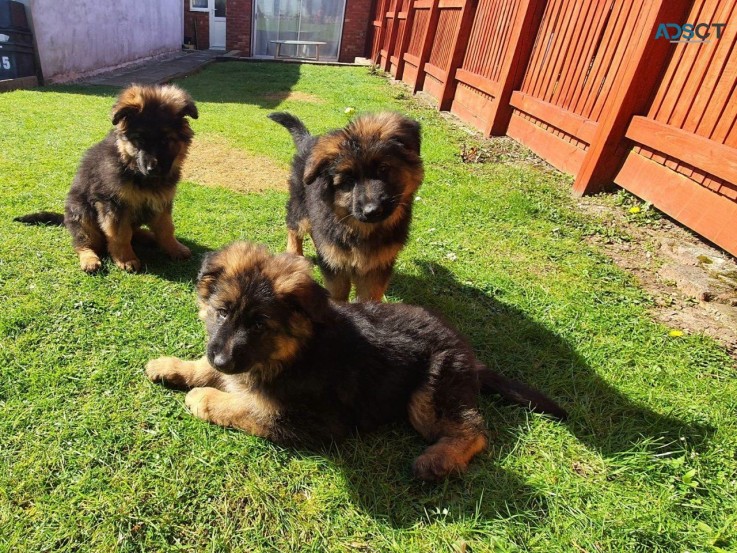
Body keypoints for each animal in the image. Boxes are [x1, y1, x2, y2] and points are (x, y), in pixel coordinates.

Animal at [14, 83, 198, 272]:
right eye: (139, 140)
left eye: (165, 140)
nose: (152, 169)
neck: (130, 166)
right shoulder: (113, 204)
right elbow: (120, 235)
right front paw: (126, 259)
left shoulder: (161, 201)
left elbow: (166, 228)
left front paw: (174, 248)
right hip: (82, 213)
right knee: (82, 242)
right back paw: (89, 259)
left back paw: (148, 236)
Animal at [147, 242, 568, 478]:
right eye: (222, 312)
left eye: (260, 324)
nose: (221, 359)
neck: (295, 351)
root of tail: (468, 353)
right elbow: (212, 372)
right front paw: (173, 366)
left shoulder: (313, 421)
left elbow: (245, 408)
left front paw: (203, 397)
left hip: (428, 394)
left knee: (475, 430)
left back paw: (438, 460)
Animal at [268, 111, 422, 300]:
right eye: (348, 181)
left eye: (383, 169)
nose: (372, 211)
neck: (361, 230)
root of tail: (309, 140)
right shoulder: (335, 264)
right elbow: (338, 293)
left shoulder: (377, 267)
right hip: (300, 204)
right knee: (294, 226)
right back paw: (294, 254)